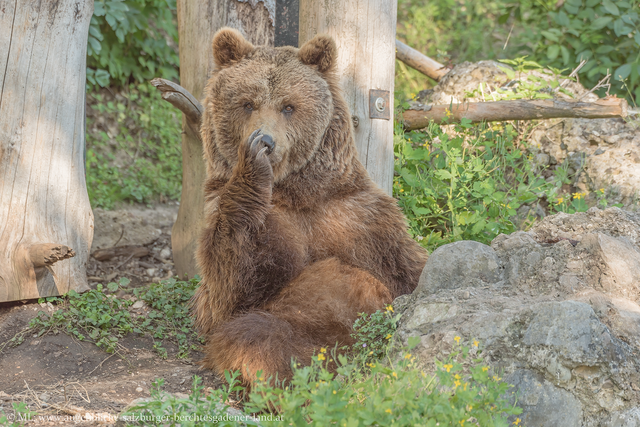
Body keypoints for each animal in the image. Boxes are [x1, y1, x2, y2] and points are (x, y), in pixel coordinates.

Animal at [193, 27, 428, 384]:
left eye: (288, 106)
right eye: (247, 103)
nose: (266, 141)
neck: (298, 193)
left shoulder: (362, 219)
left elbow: (408, 270)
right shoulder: (241, 216)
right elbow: (234, 285)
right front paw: (252, 168)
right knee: (260, 334)